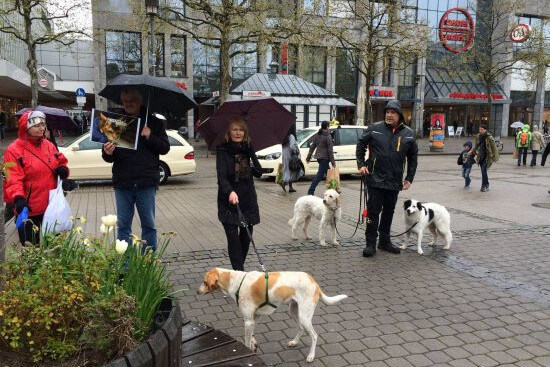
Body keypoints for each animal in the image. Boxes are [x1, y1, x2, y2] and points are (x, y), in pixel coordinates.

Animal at [198, 268, 350, 362]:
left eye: (204, 282)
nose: (197, 292)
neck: (235, 281)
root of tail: (315, 283)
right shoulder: (253, 318)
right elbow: (251, 335)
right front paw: (254, 345)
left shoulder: (248, 320)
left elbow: (246, 340)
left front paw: (248, 349)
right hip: (294, 311)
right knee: (300, 328)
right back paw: (294, 342)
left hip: (304, 316)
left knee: (314, 335)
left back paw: (311, 356)